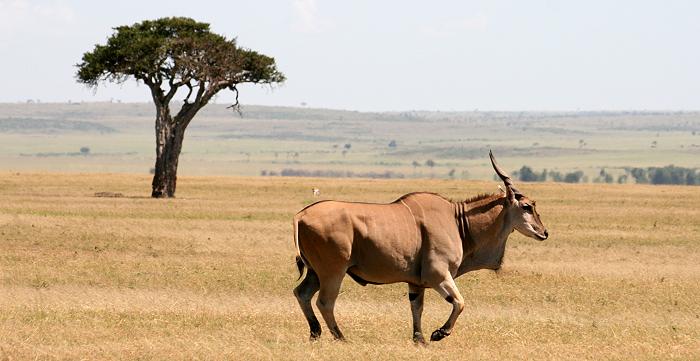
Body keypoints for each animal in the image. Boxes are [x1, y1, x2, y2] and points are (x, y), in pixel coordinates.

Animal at [290, 150, 548, 342]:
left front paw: (420, 339)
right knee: (325, 302)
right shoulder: (438, 274)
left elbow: (417, 308)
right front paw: (439, 333)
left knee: (302, 293)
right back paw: (341, 338)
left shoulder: (416, 283)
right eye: (527, 206)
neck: (457, 221)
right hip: (333, 271)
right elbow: (459, 302)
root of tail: (301, 215)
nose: (544, 232)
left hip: (315, 272)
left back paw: (315, 333)